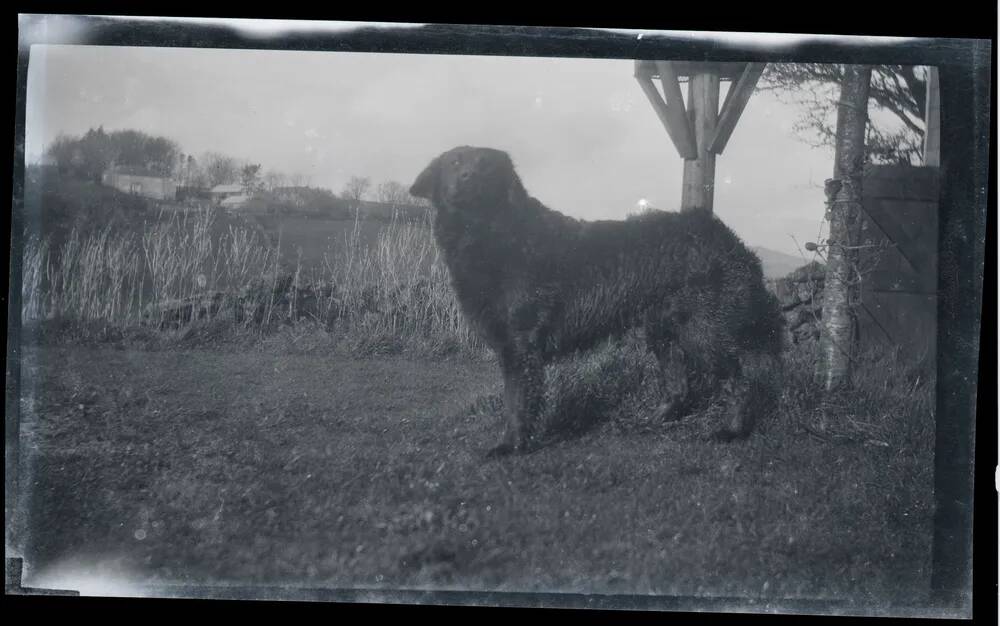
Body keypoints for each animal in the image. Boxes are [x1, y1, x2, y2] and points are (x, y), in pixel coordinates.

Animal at [410, 149, 784, 456]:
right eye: (454, 163)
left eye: (486, 165)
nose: (467, 178)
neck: (488, 233)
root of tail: (728, 238)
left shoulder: (520, 345)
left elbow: (517, 401)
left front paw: (510, 445)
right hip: (662, 329)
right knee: (679, 384)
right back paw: (656, 418)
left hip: (702, 330)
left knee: (737, 380)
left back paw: (731, 430)